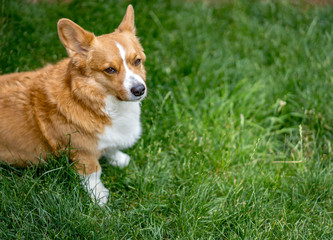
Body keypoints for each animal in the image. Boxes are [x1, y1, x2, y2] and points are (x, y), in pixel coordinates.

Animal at [0, 4, 147, 205]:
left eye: (137, 61)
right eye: (110, 70)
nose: (139, 90)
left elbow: (111, 148)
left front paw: (119, 159)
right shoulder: (82, 153)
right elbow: (93, 173)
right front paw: (99, 197)